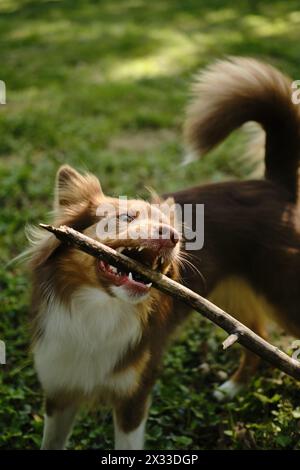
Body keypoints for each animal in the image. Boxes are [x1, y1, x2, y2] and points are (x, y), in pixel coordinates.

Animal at [26, 57, 300, 450]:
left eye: (173, 230)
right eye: (125, 217)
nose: (174, 237)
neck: (98, 309)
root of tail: (275, 185)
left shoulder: (134, 398)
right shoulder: (59, 392)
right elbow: (52, 441)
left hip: (282, 295)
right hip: (234, 295)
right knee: (255, 337)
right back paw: (232, 388)